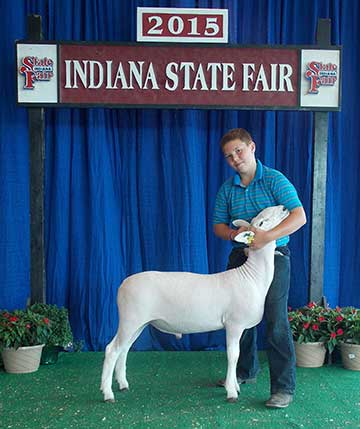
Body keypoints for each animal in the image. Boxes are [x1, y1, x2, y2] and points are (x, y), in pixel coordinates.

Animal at [100, 206, 290, 402]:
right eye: (262, 222)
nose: (284, 207)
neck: (252, 277)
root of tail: (122, 285)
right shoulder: (234, 324)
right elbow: (233, 355)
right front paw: (231, 392)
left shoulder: (241, 326)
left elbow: (236, 355)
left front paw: (235, 387)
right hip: (130, 319)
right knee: (112, 349)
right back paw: (108, 393)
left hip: (139, 323)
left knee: (124, 349)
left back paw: (123, 384)